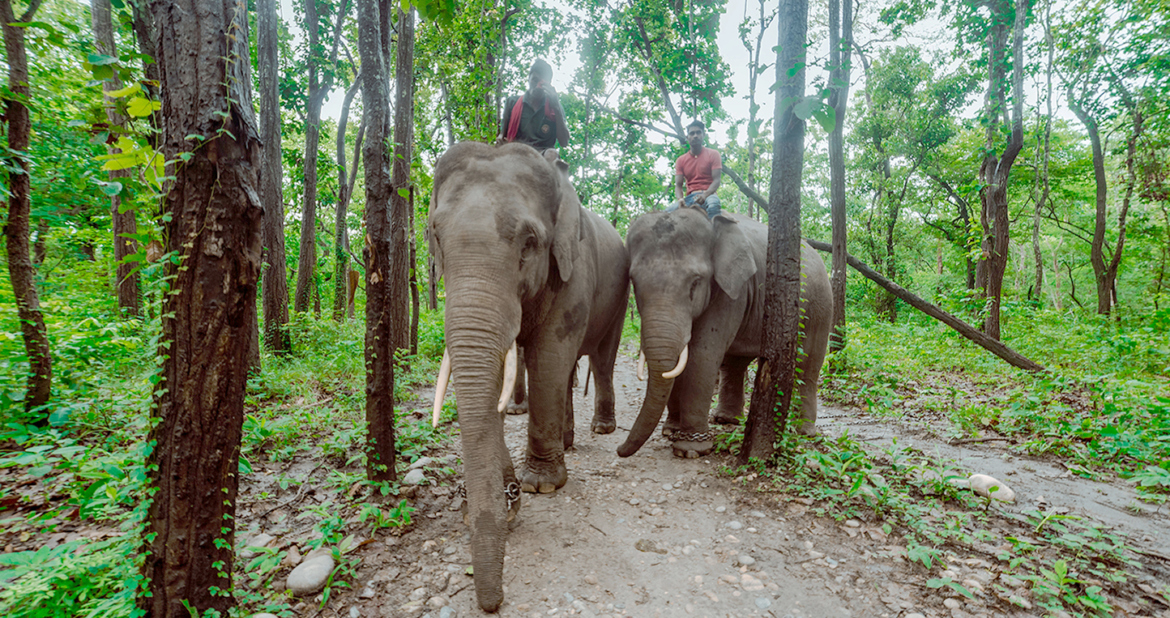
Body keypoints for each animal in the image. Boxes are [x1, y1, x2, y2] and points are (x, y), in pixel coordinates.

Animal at [427, 142, 629, 611]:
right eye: (436, 237)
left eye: (530, 243)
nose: (491, 603)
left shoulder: (573, 267)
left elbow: (550, 355)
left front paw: (540, 486)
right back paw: (568, 441)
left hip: (620, 294)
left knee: (600, 358)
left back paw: (602, 428)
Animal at [616, 206, 832, 459]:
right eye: (633, 281)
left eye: (695, 282)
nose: (619, 449)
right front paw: (671, 431)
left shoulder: (731, 292)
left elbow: (702, 355)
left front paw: (689, 449)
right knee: (734, 364)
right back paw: (726, 419)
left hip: (819, 307)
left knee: (808, 365)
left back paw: (804, 431)